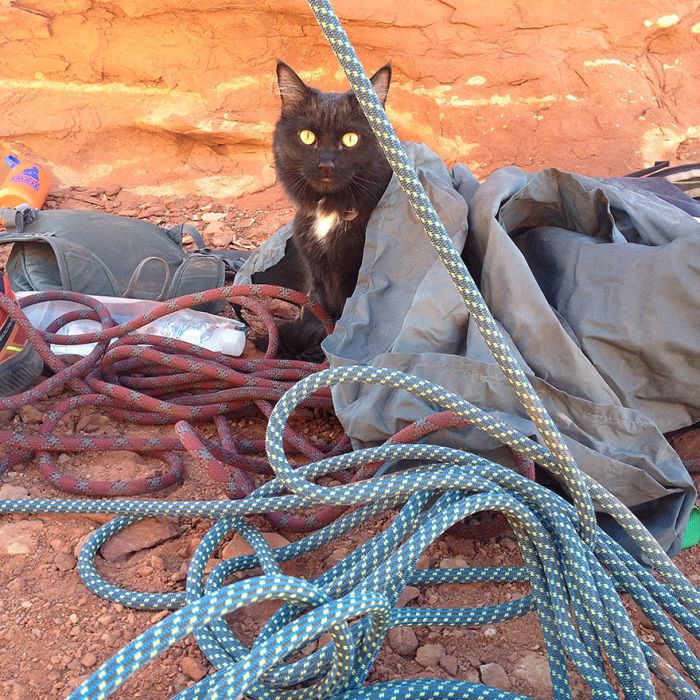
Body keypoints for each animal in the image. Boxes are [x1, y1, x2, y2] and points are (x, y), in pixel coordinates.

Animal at [266, 61, 394, 360]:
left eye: (350, 139)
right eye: (307, 136)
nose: (326, 164)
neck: (332, 211)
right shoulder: (318, 278)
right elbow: (321, 317)